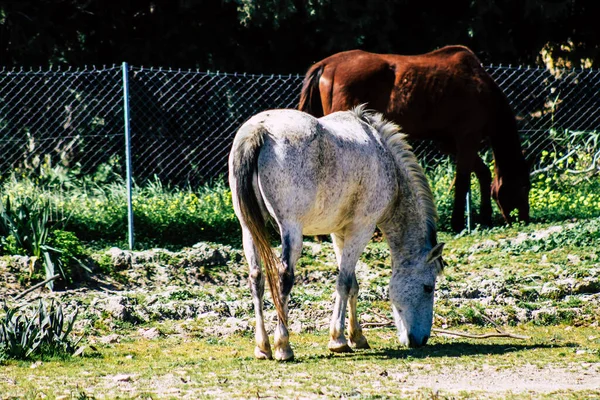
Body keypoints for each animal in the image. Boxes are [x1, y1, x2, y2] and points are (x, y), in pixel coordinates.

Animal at [227, 104, 442, 360]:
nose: (421, 340)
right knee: (284, 276)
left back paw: (263, 347)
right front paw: (338, 339)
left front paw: (357, 336)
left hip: (248, 228)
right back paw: (283, 346)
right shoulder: (362, 229)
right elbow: (344, 282)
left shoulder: (340, 233)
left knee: (256, 278)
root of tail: (259, 130)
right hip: (291, 229)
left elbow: (353, 283)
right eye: (428, 287)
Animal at [298, 45, 528, 233]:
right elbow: (463, 181)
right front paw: (458, 223)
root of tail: (326, 65)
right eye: (523, 185)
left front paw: (485, 218)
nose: (524, 218)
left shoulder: (449, 143)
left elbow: (482, 173)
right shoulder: (467, 139)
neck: (482, 87)